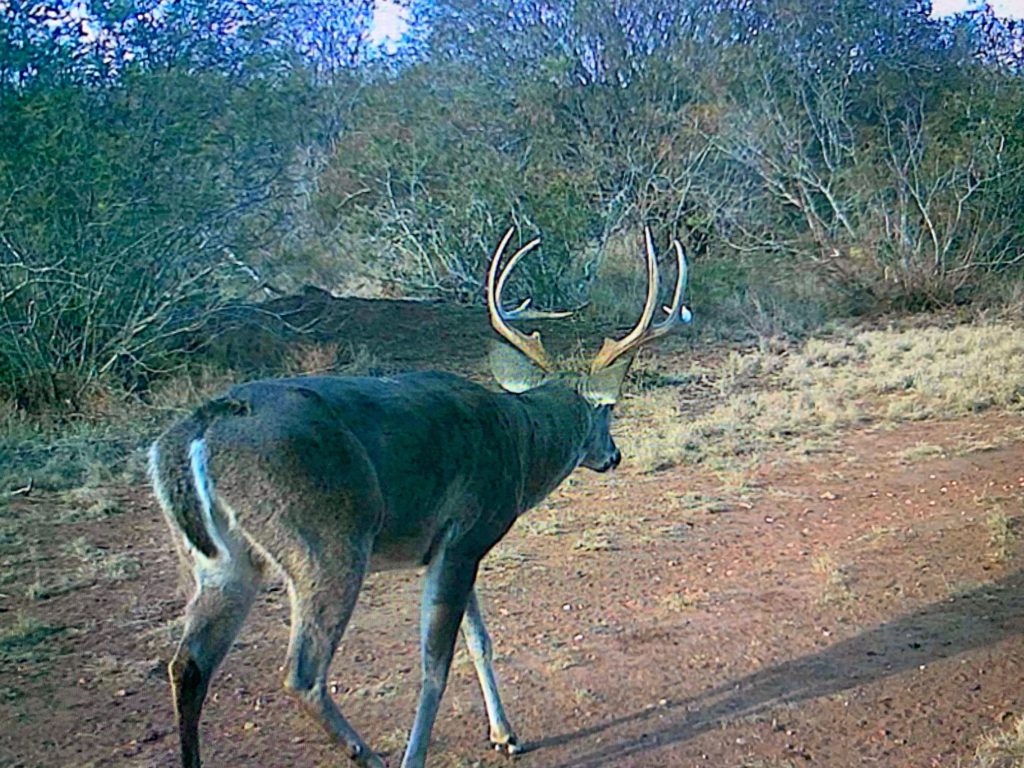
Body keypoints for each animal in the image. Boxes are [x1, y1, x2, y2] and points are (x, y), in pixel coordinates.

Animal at [148, 226, 691, 768]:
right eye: (608, 412)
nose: (613, 455)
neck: (519, 442)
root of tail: (197, 431)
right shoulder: (467, 533)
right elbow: (437, 663)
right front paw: (424, 753)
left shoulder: (450, 548)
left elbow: (479, 640)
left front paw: (506, 734)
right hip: (326, 545)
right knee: (302, 675)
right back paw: (371, 757)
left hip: (221, 563)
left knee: (188, 665)